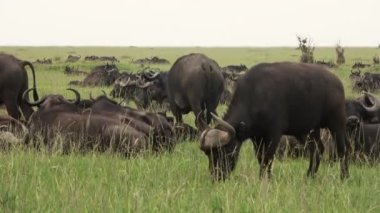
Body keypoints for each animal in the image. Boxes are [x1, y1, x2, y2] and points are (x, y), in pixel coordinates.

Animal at [200, 62, 348, 181]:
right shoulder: (257, 138)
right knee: (317, 149)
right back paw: (310, 175)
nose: (216, 176)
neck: (255, 95)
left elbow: (268, 158)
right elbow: (261, 158)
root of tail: (338, 83)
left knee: (342, 149)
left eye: (227, 150)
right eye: (208, 154)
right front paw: (266, 177)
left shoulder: (274, 135)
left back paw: (344, 177)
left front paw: (264, 179)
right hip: (310, 130)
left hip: (337, 124)